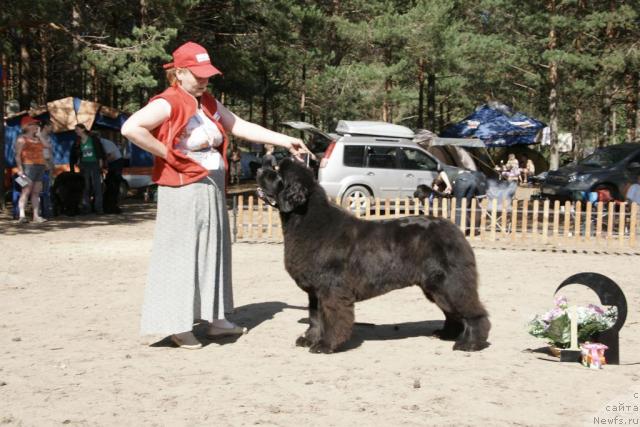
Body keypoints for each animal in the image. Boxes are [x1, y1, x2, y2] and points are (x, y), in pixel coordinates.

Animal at [255, 158, 490, 354]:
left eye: (276, 171)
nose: (258, 169)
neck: (305, 219)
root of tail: (454, 229)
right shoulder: (315, 291)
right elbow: (315, 318)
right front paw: (309, 339)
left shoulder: (331, 288)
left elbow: (332, 317)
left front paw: (326, 345)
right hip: (435, 286)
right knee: (451, 312)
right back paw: (446, 334)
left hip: (451, 282)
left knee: (472, 311)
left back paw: (470, 343)